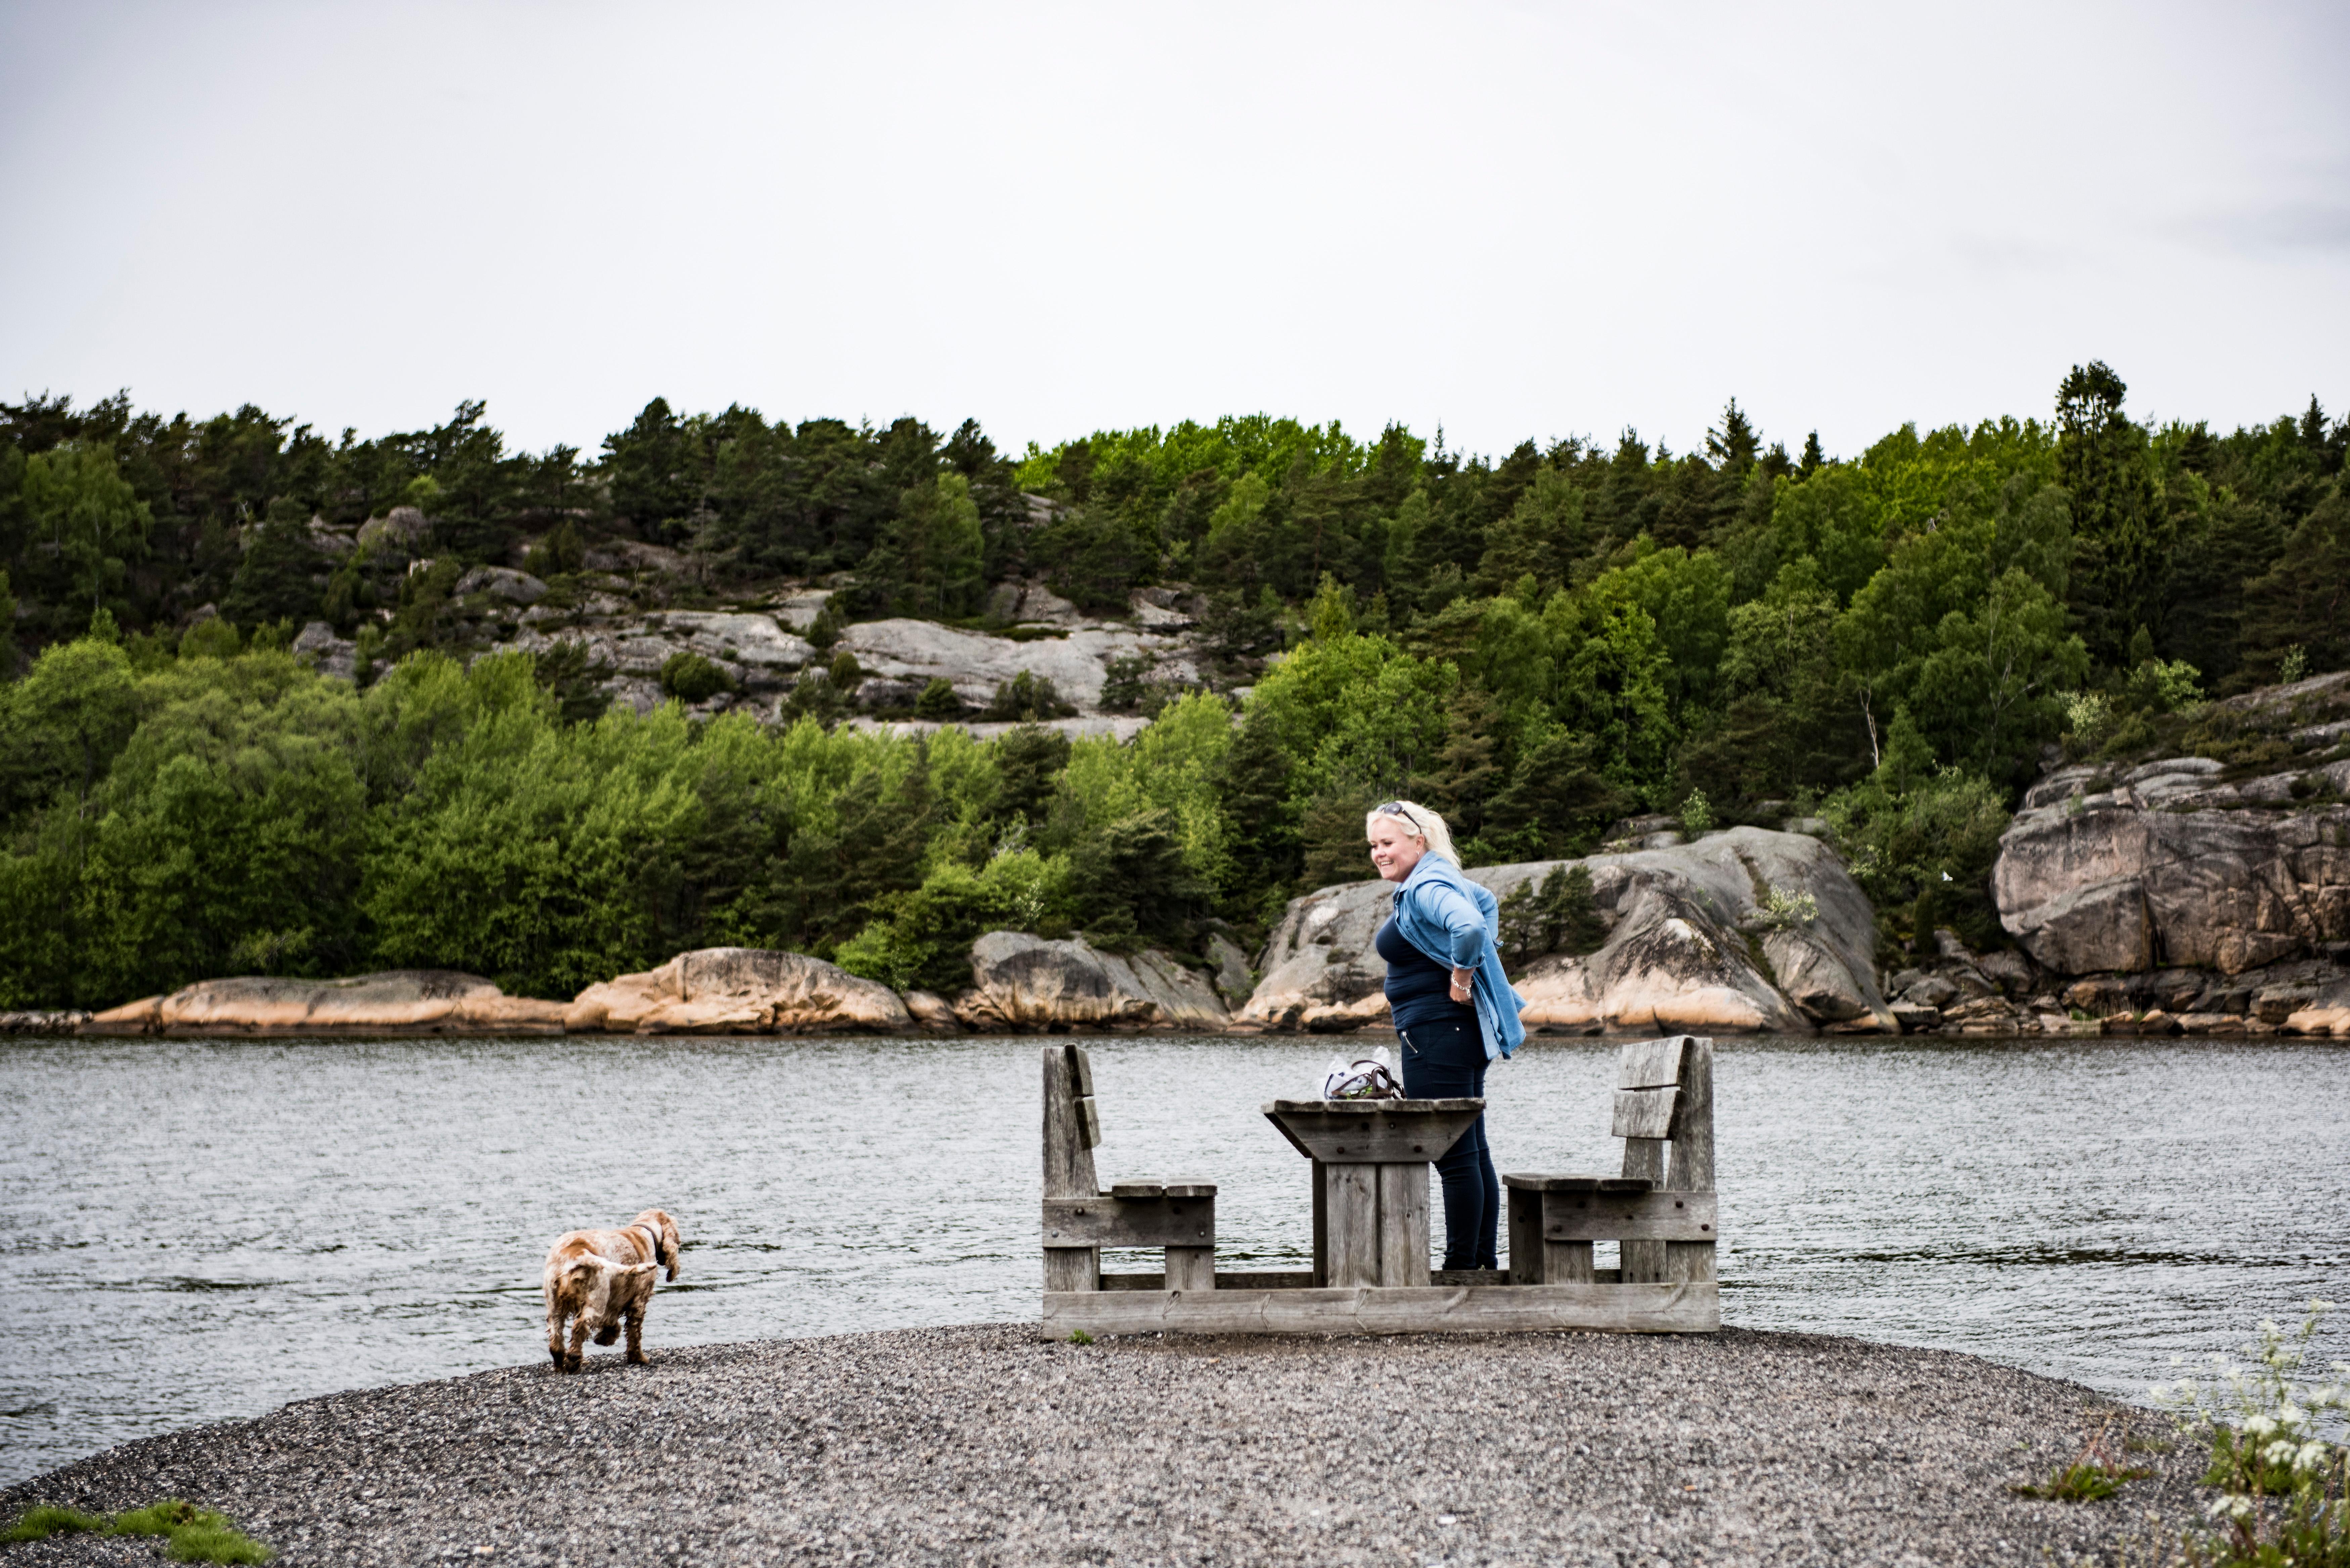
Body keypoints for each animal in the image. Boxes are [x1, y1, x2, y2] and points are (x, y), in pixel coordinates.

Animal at [538, 1213, 677, 1363]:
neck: (644, 1231)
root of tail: (578, 1251)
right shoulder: (639, 1300)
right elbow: (634, 1332)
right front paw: (638, 1358)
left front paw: (605, 1338)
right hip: (598, 1300)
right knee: (580, 1326)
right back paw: (574, 1361)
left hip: (554, 1305)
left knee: (556, 1339)